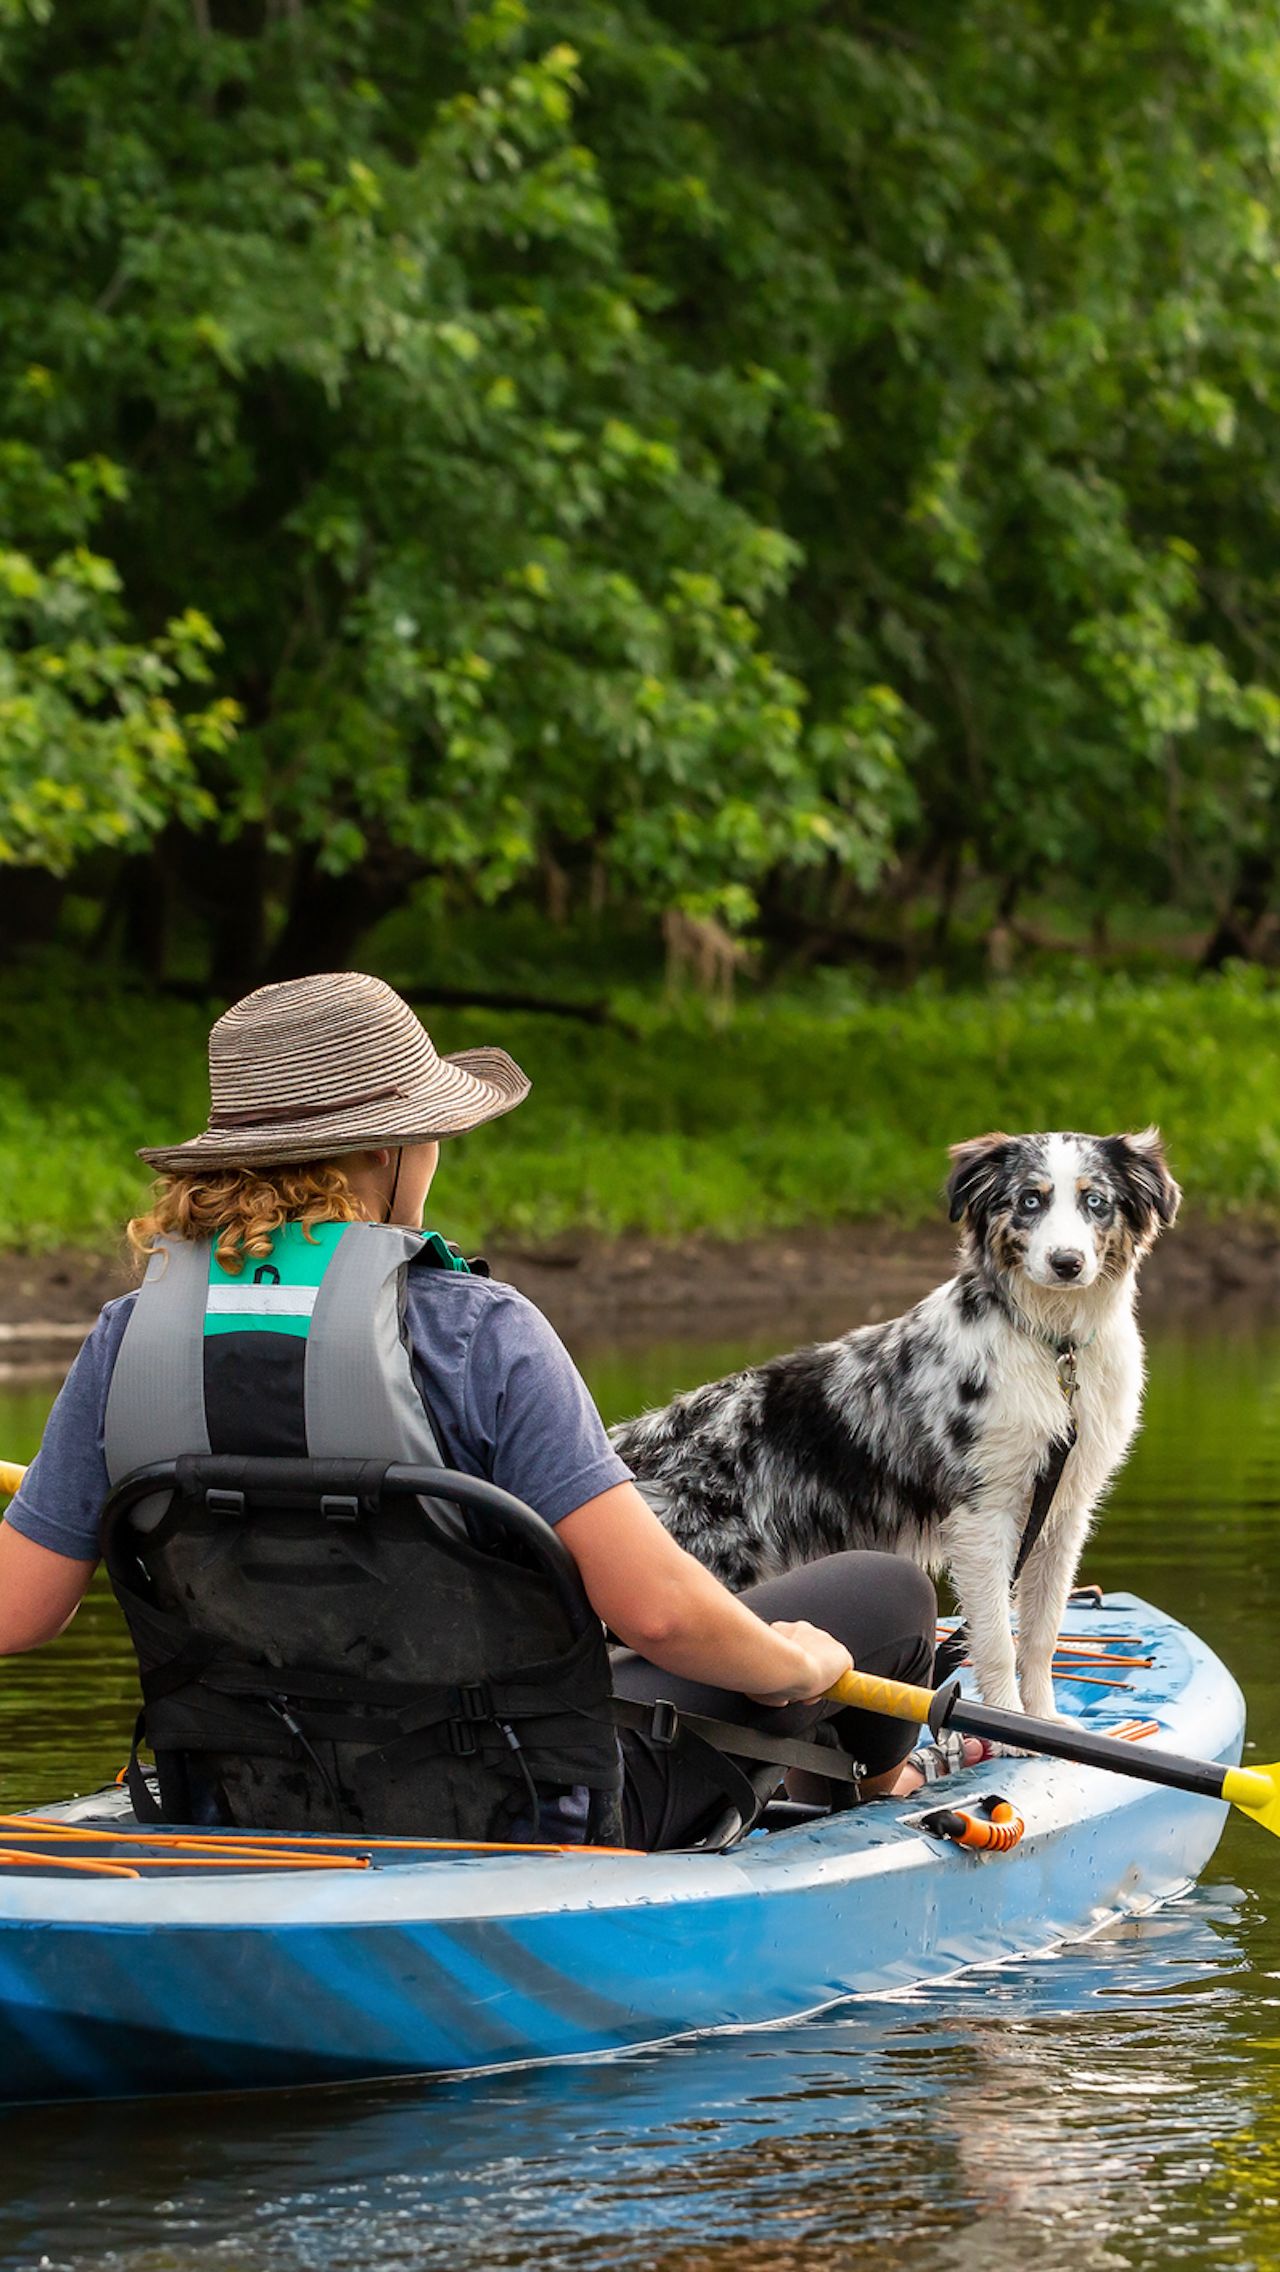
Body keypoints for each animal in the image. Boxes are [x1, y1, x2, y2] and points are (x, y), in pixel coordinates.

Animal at [613, 1136, 1191, 1717]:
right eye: (1030, 1200)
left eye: (1096, 1202)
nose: (1066, 1263)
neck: (1053, 1345)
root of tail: (629, 1449)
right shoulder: (983, 1513)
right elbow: (996, 1642)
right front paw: (1007, 1723)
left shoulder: (1062, 1512)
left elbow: (1041, 1635)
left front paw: (1048, 1722)